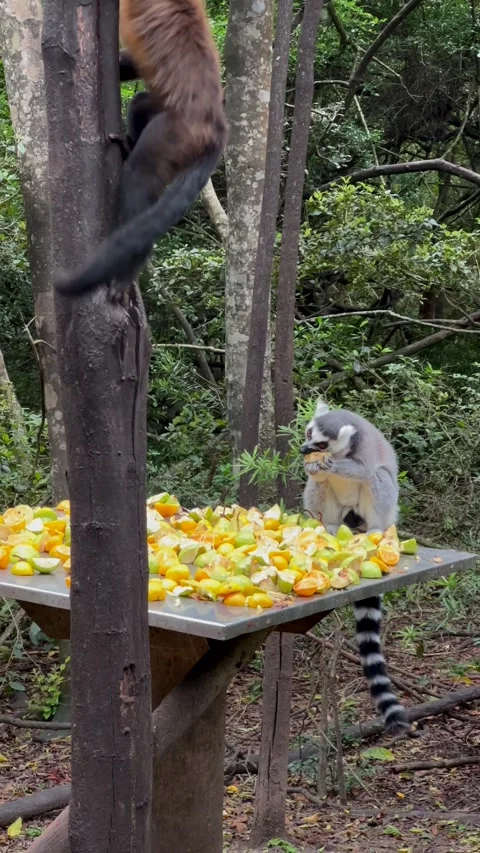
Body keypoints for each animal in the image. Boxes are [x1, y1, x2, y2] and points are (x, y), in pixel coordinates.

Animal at [54, 0, 228, 303]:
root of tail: (216, 124)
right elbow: (130, 64)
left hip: (175, 133)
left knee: (140, 174)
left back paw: (129, 268)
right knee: (141, 102)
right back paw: (128, 144)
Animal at [301, 399, 410, 737]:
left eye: (322, 443)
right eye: (308, 433)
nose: (304, 449)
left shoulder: (363, 449)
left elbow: (363, 468)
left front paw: (329, 466)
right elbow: (316, 476)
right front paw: (314, 467)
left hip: (382, 509)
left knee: (377, 476)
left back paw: (374, 530)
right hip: (337, 510)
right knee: (319, 487)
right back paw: (325, 525)